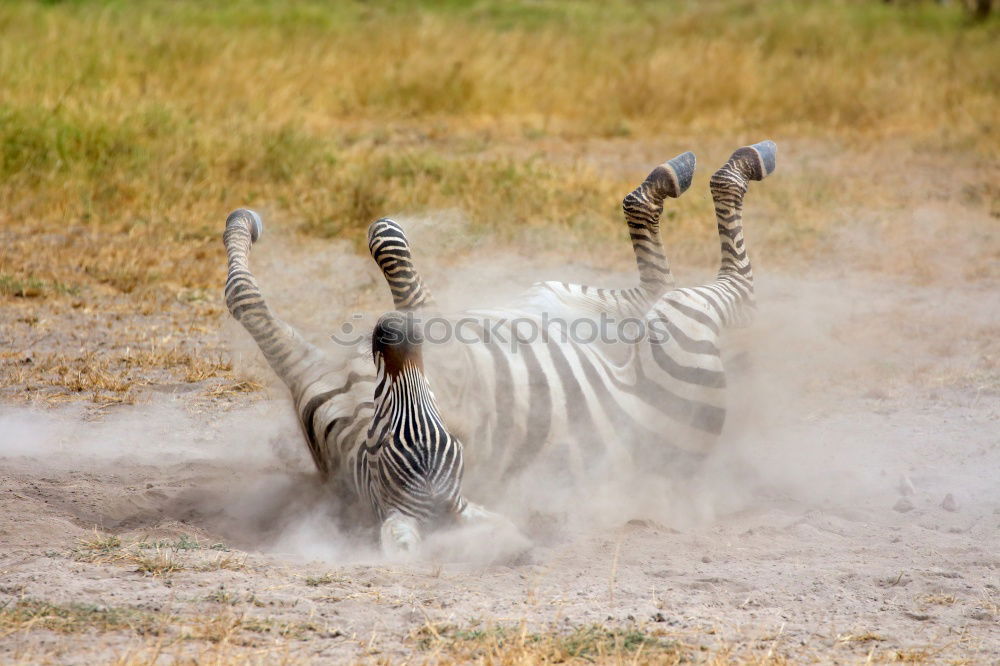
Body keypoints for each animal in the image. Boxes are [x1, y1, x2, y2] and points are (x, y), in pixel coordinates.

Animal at [225, 141, 772, 556]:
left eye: (447, 438)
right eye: (386, 443)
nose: (394, 333)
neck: (356, 419)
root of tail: (689, 458)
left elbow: (264, 289)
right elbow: (366, 248)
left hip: (596, 306)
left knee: (677, 287)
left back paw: (690, 175)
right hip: (653, 321)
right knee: (714, 291)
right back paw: (728, 168)